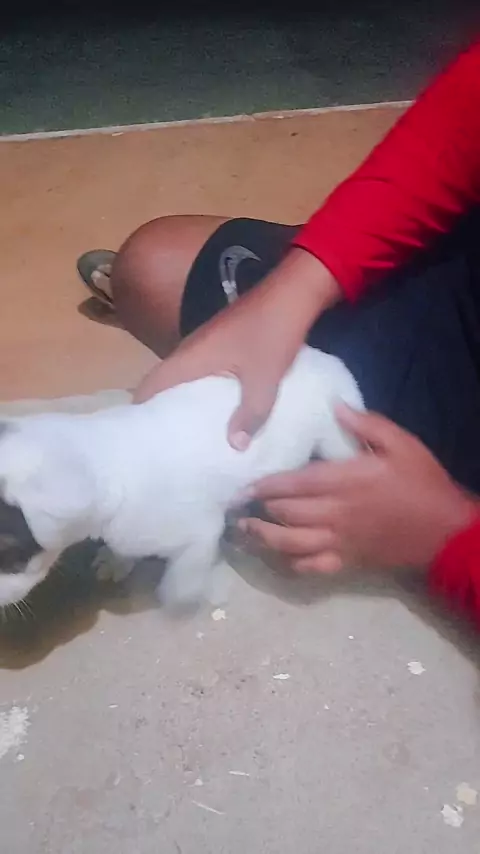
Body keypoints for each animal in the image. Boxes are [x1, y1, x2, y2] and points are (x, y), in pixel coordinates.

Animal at [0, 345, 364, 610]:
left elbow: (184, 575)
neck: (105, 457)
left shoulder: (199, 534)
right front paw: (117, 562)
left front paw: (188, 596)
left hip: (338, 437)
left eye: (10, 554)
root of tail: (326, 357)